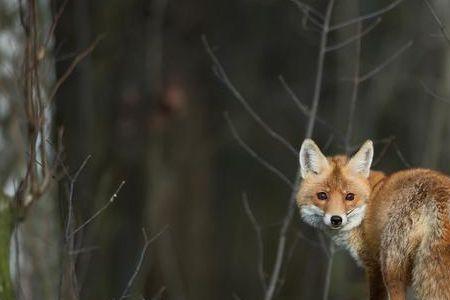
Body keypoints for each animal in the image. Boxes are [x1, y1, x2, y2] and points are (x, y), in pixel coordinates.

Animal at [298, 139, 450, 300]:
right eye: (322, 196)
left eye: (350, 196)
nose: (336, 219)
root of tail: (438, 190)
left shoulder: (374, 266)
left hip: (390, 268)